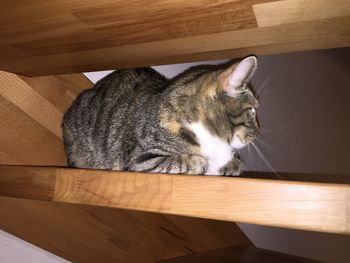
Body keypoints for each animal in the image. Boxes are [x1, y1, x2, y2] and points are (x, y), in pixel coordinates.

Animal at [62, 57, 260, 177]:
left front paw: (230, 165)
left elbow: (233, 164)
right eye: (252, 110)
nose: (258, 131)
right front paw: (200, 162)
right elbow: (185, 162)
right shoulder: (140, 160)